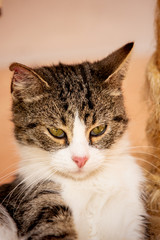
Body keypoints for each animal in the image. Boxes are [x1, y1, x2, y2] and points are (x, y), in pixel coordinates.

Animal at [0, 42, 148, 239]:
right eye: (56, 132)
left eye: (99, 129)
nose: (81, 159)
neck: (87, 184)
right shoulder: (38, 200)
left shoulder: (130, 212)